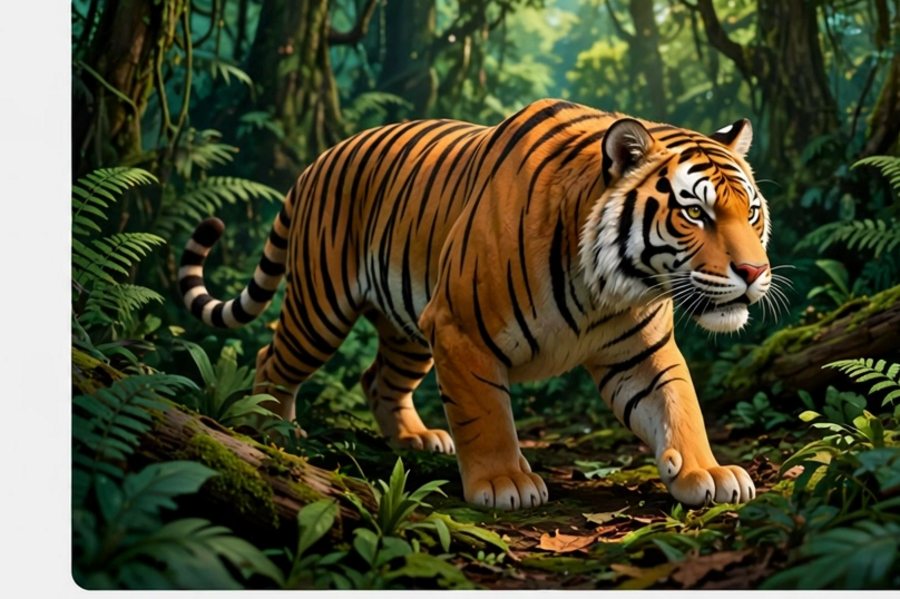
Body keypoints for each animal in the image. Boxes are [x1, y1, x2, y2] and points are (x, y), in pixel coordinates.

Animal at [179, 99, 773, 510]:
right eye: (694, 213)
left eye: (751, 212)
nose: (754, 273)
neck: (605, 288)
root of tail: (315, 161)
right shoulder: (461, 330)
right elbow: (486, 415)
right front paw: (504, 482)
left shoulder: (642, 352)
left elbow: (679, 405)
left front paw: (707, 473)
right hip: (321, 308)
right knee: (272, 359)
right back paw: (270, 431)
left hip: (408, 328)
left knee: (379, 379)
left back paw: (417, 440)